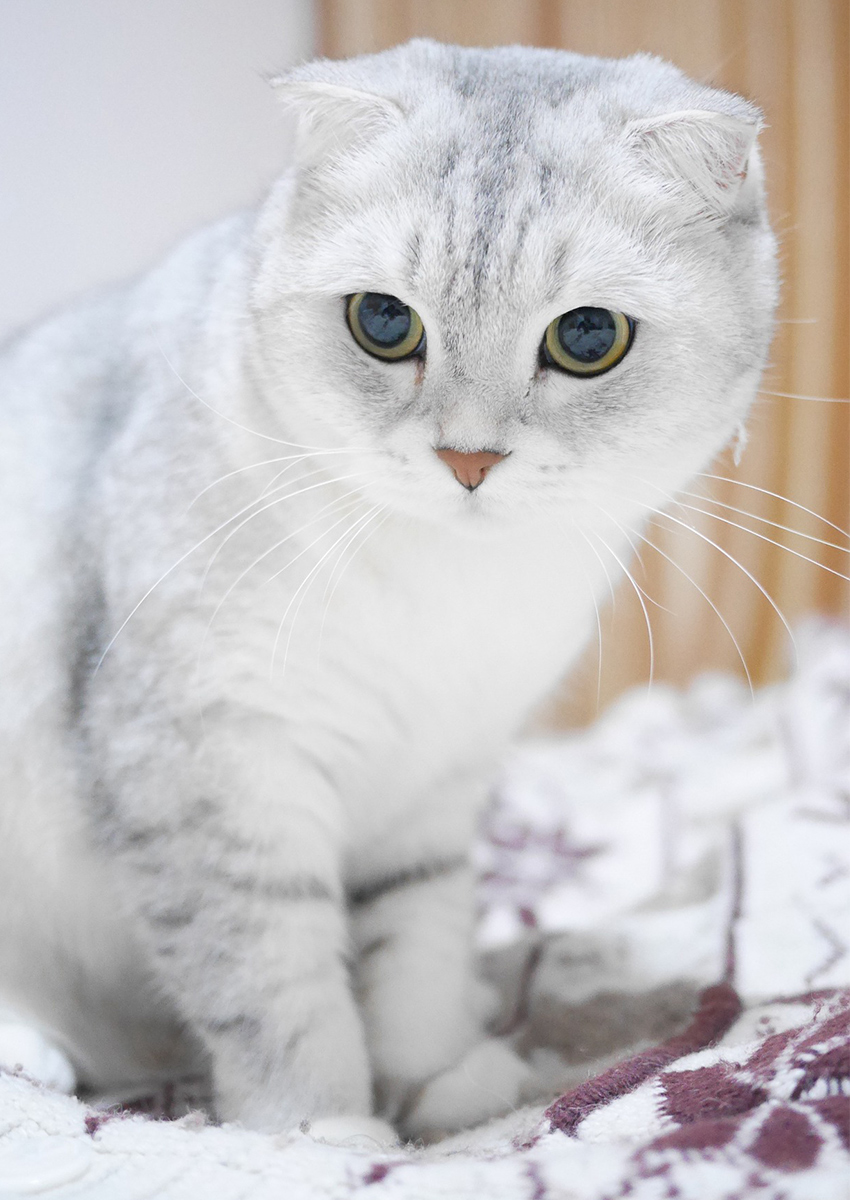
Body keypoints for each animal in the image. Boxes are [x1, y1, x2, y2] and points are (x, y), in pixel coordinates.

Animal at [0, 39, 777, 1142]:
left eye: (588, 337)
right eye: (381, 322)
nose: (468, 459)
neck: (444, 583)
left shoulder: (437, 779)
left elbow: (415, 943)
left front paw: (432, 1079)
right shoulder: (214, 766)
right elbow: (276, 978)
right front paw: (317, 1129)